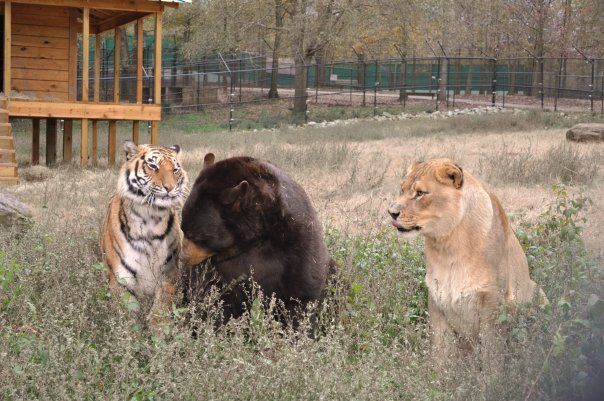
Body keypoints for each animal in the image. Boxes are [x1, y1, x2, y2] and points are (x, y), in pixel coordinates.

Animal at [100, 139, 189, 324]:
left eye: (175, 170)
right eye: (153, 166)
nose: (169, 188)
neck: (151, 218)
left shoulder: (169, 275)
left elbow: (160, 311)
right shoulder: (121, 280)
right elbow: (128, 319)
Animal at [182, 153, 338, 322]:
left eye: (195, 236)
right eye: (183, 230)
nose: (183, 257)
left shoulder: (297, 239)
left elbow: (303, 290)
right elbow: (209, 290)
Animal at [386, 158, 548, 360]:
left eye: (421, 193)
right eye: (401, 190)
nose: (391, 212)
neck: (448, 247)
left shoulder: (492, 305)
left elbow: (492, 357)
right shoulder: (437, 303)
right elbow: (441, 355)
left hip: (538, 292)